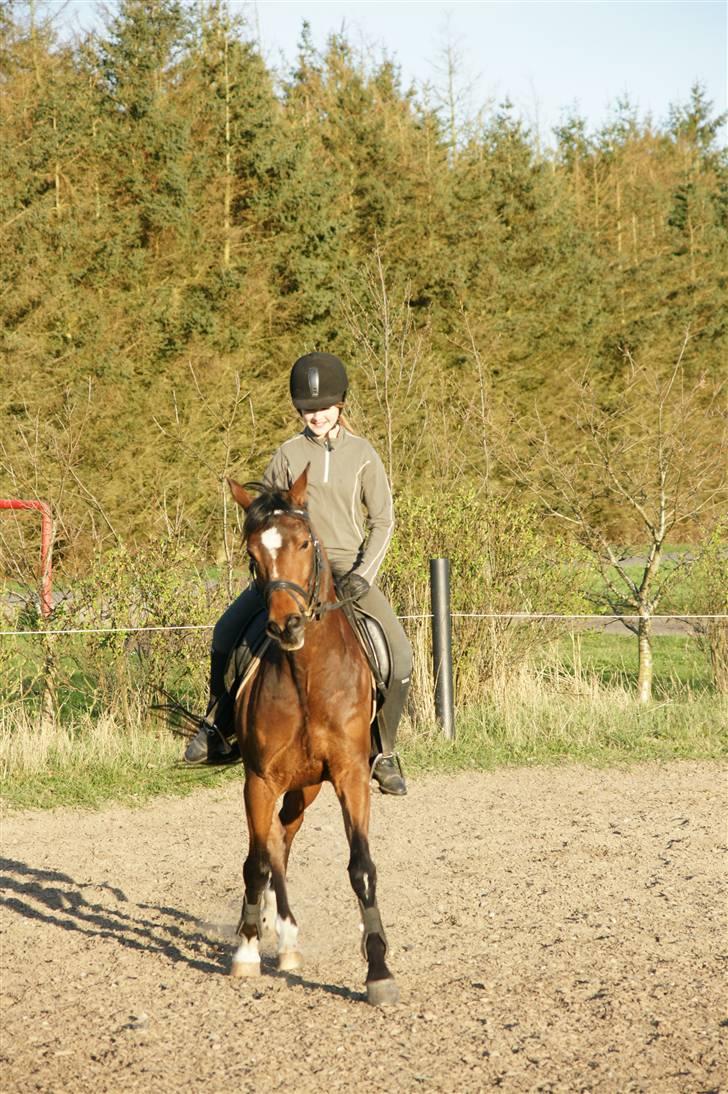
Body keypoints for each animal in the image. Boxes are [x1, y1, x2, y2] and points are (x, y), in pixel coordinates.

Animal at [226, 468, 399, 1006]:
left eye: (305, 542)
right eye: (252, 553)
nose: (287, 625)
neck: (306, 676)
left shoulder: (349, 776)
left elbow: (361, 867)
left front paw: (379, 971)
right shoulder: (258, 780)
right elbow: (255, 864)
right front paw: (245, 950)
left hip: (306, 787)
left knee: (282, 839)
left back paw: (285, 939)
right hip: (284, 785)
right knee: (270, 848)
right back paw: (277, 935)